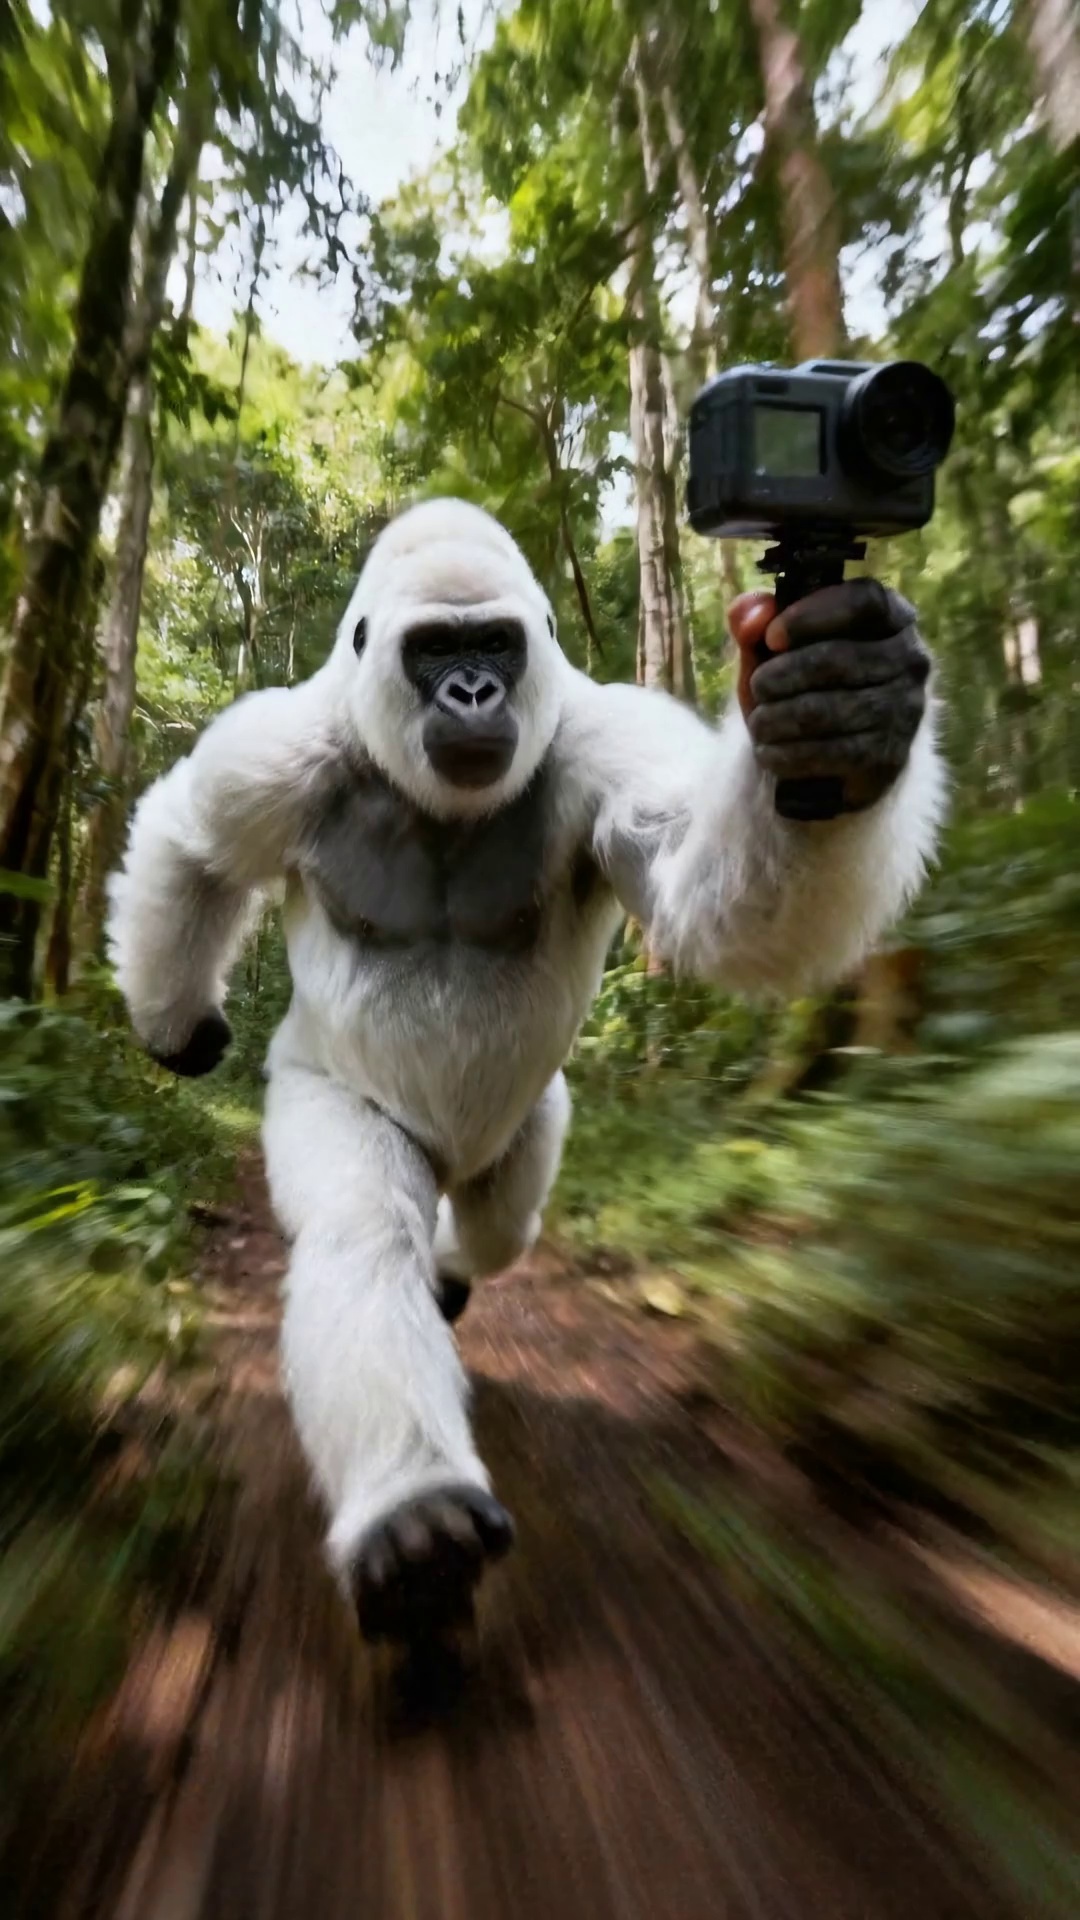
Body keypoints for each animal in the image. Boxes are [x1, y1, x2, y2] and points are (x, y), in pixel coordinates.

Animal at [107, 497, 945, 1644]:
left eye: (496, 645)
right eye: (435, 651)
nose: (473, 692)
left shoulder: (607, 740)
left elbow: (704, 906)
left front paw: (847, 717)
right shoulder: (270, 753)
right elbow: (194, 842)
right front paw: (174, 1030)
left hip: (526, 1130)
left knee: (501, 1224)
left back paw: (454, 1268)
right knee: (373, 1228)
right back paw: (412, 1503)